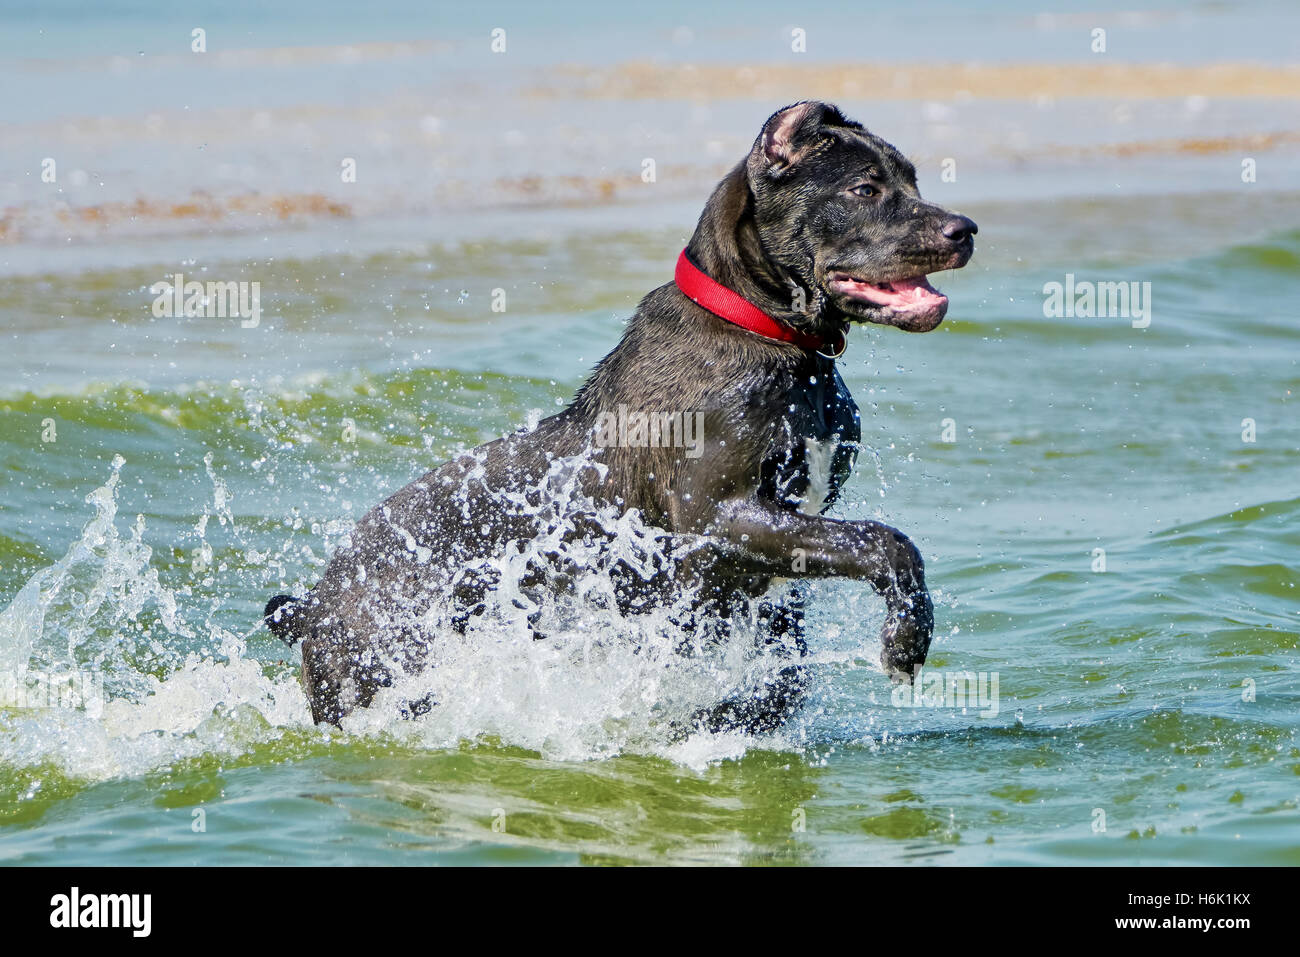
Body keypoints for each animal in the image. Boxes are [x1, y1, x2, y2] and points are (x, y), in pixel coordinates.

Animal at [263, 100, 977, 733]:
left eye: (912, 181)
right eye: (864, 188)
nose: (964, 230)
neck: (763, 331)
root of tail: (314, 606)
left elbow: (782, 657)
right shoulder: (721, 515)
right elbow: (886, 542)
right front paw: (906, 640)